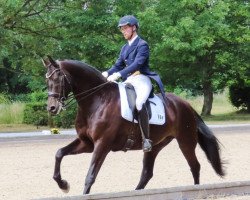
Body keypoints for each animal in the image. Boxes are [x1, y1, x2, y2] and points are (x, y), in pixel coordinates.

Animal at [42, 56, 225, 195]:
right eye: (47, 79)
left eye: (58, 79)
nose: (52, 108)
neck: (97, 100)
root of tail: (185, 104)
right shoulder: (87, 143)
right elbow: (59, 153)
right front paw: (63, 184)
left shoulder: (102, 144)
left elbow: (90, 176)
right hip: (155, 145)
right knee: (147, 173)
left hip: (185, 141)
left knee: (195, 166)